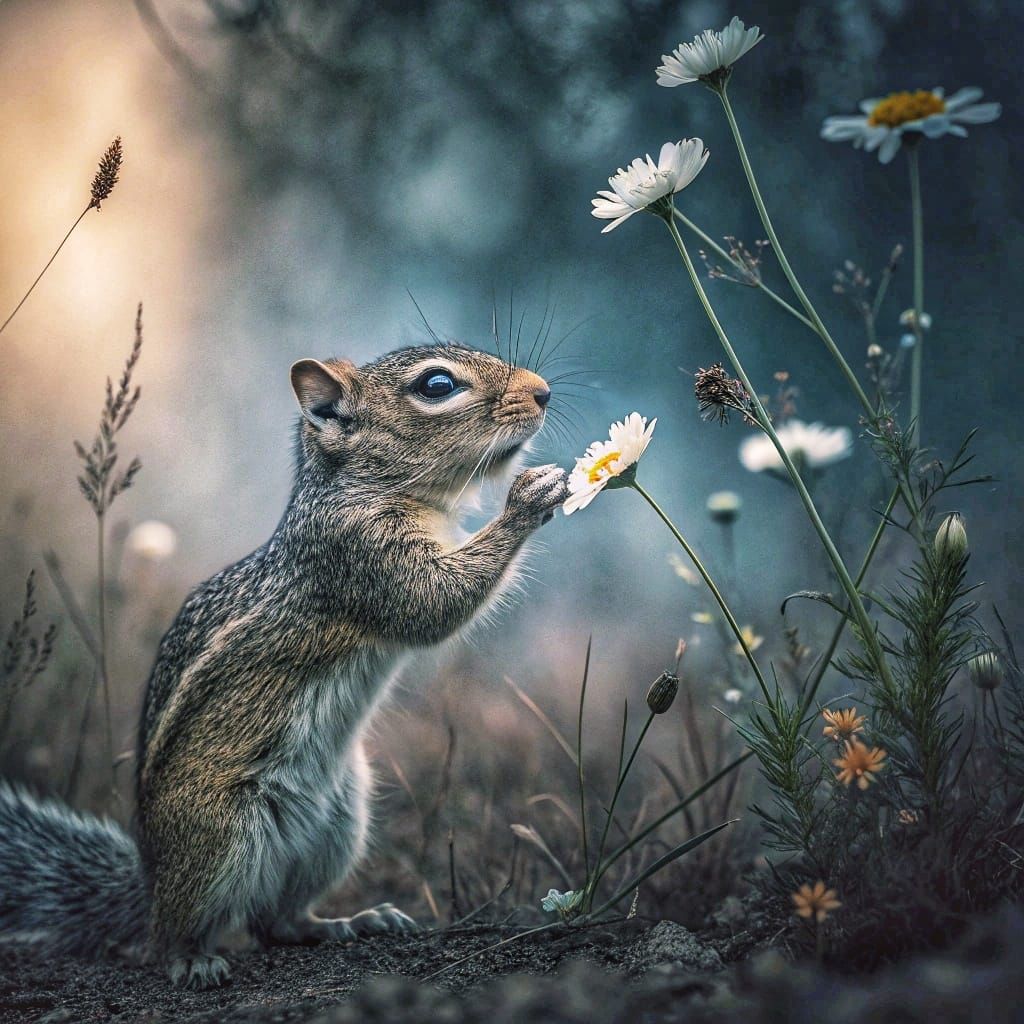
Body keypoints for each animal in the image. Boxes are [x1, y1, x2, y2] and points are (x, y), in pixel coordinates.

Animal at [0, 342, 567, 989]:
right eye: (438, 385)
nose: (543, 392)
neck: (368, 488)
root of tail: (150, 876)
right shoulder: (358, 552)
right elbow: (434, 603)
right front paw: (529, 498)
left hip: (339, 825)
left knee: (277, 920)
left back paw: (349, 922)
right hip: (218, 836)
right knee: (177, 929)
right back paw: (191, 959)